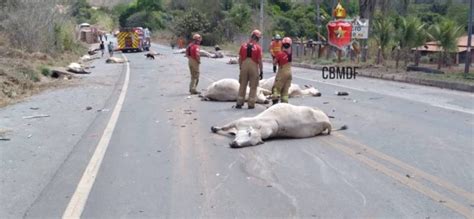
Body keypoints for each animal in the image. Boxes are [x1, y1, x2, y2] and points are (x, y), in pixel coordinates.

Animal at [210, 103, 344, 148]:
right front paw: (215, 128)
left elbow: (225, 127)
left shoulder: (239, 122)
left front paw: (215, 128)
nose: (235, 144)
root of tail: (326, 121)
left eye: (252, 144)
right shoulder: (239, 122)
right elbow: (226, 127)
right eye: (248, 133)